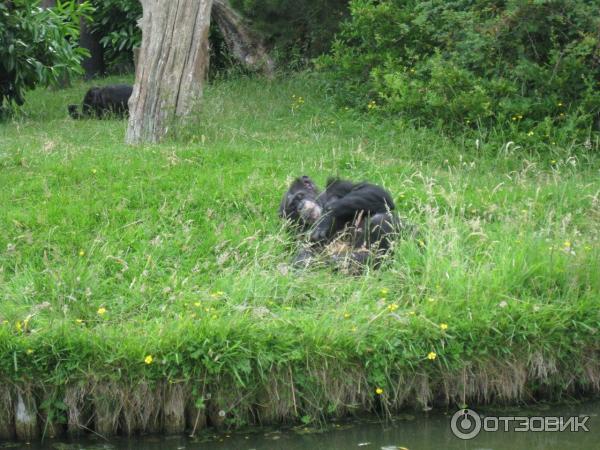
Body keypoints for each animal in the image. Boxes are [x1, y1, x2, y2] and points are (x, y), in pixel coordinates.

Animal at [278, 176, 414, 270]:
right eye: (293, 209)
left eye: (299, 197)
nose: (300, 207)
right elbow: (304, 252)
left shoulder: (339, 185)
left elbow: (376, 192)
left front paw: (326, 219)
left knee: (379, 219)